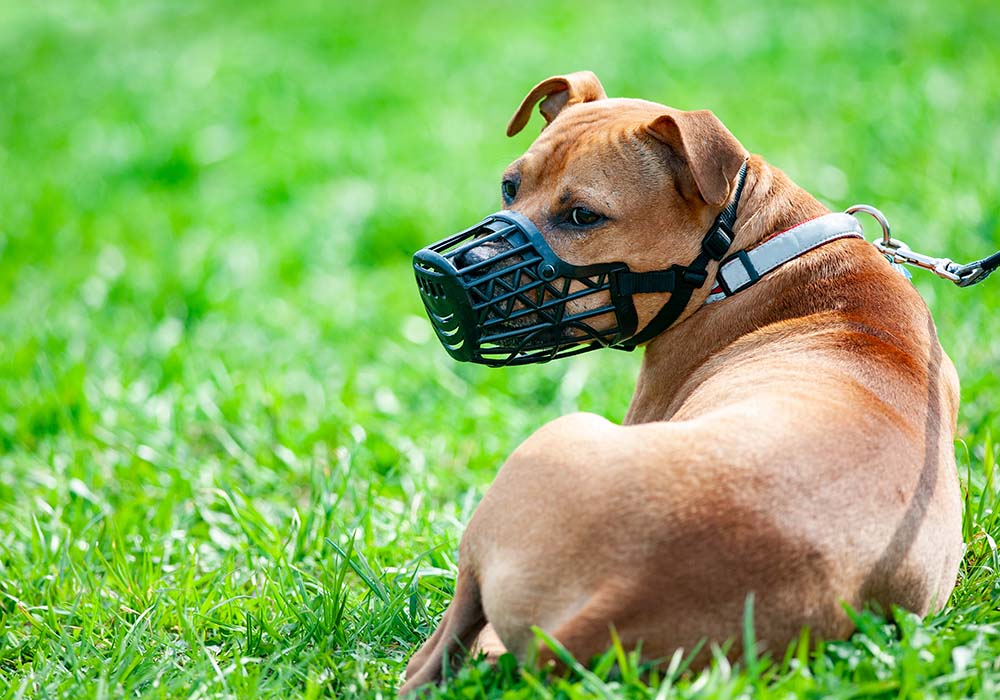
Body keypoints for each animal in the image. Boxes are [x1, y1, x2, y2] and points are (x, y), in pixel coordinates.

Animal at [402, 71, 964, 696]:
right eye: (509, 187)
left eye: (583, 217)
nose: (440, 276)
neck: (745, 253)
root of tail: (624, 590)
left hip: (547, 453)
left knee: (434, 652)